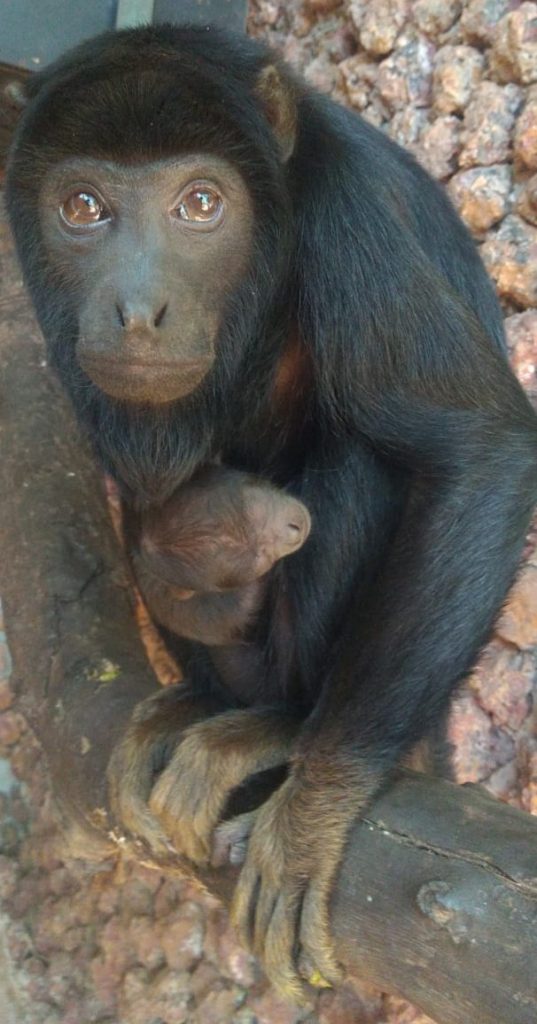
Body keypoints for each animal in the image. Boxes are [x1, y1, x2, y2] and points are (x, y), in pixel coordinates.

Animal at [6, 22, 537, 999]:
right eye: (83, 206)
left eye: (201, 203)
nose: (138, 310)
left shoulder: (349, 211)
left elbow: (478, 452)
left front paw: (317, 804)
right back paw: (200, 701)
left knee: (356, 471)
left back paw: (280, 725)